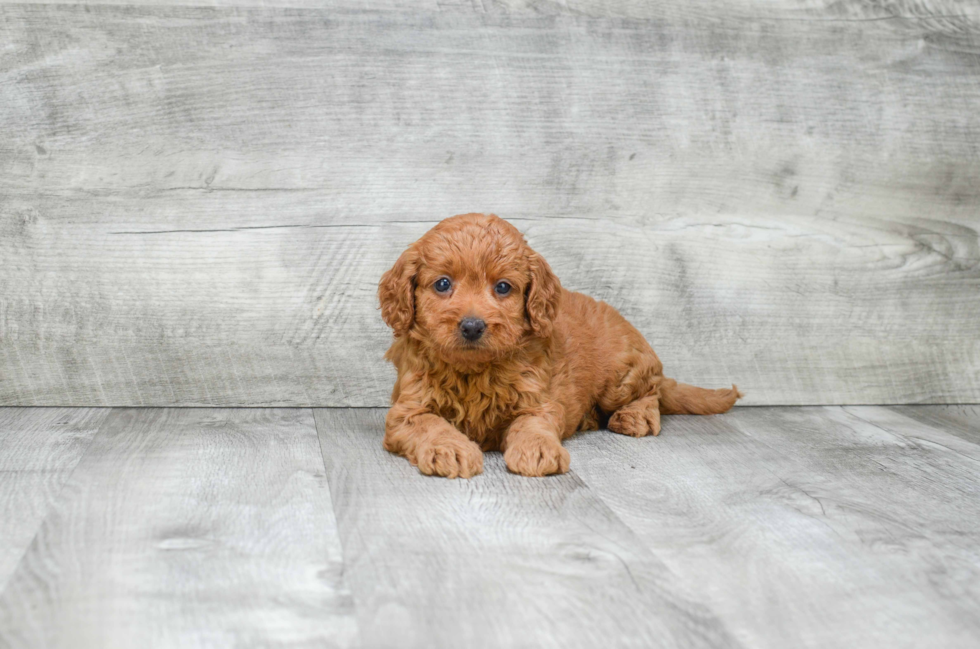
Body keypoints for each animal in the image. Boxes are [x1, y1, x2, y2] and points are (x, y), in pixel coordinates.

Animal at [378, 213, 740, 476]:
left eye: (503, 287)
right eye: (442, 284)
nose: (472, 326)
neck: (474, 370)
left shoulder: (538, 401)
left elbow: (533, 425)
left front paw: (537, 449)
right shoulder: (408, 408)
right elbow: (430, 424)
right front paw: (450, 447)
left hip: (621, 378)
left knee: (654, 391)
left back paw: (635, 416)